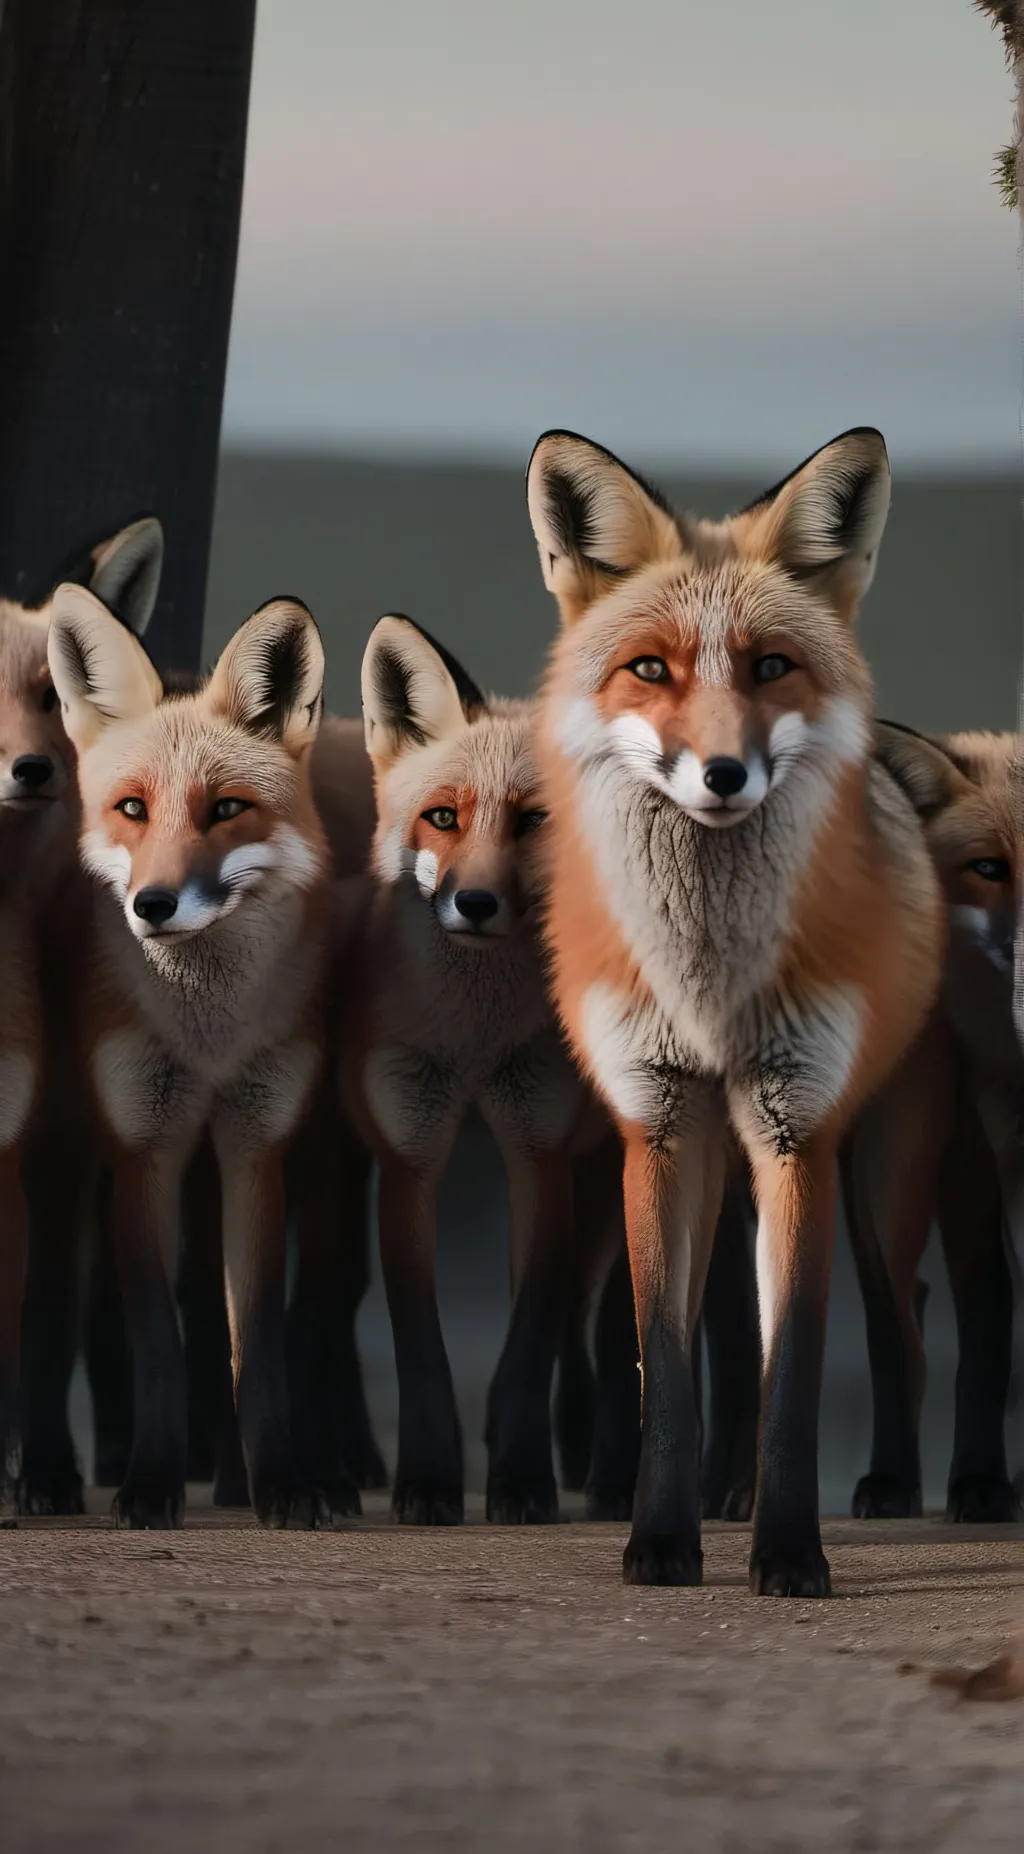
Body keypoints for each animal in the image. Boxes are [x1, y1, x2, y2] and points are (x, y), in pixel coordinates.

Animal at [45, 582, 342, 1527]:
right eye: (133, 808)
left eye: (225, 809)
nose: (153, 904)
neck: (208, 1041)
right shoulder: (144, 1146)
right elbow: (156, 1342)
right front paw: (149, 1481)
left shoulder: (255, 1146)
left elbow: (255, 1339)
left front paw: (280, 1482)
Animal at [340, 613, 619, 1524]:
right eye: (443, 818)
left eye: (534, 821)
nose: (473, 904)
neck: (474, 1042)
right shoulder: (410, 1152)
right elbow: (419, 1343)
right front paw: (429, 1480)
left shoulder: (538, 1149)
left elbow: (532, 1335)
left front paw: (524, 1477)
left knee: (593, 1322)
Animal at [527, 425, 945, 1595]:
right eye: (650, 669)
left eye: (768, 666)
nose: (722, 773)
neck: (709, 986)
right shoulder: (662, 1127)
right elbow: (667, 1365)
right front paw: (662, 1539)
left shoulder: (798, 1129)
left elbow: (791, 1362)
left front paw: (791, 1552)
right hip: (725, 1171)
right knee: (728, 1333)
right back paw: (723, 1491)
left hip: (879, 1175)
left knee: (900, 1322)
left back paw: (889, 1483)